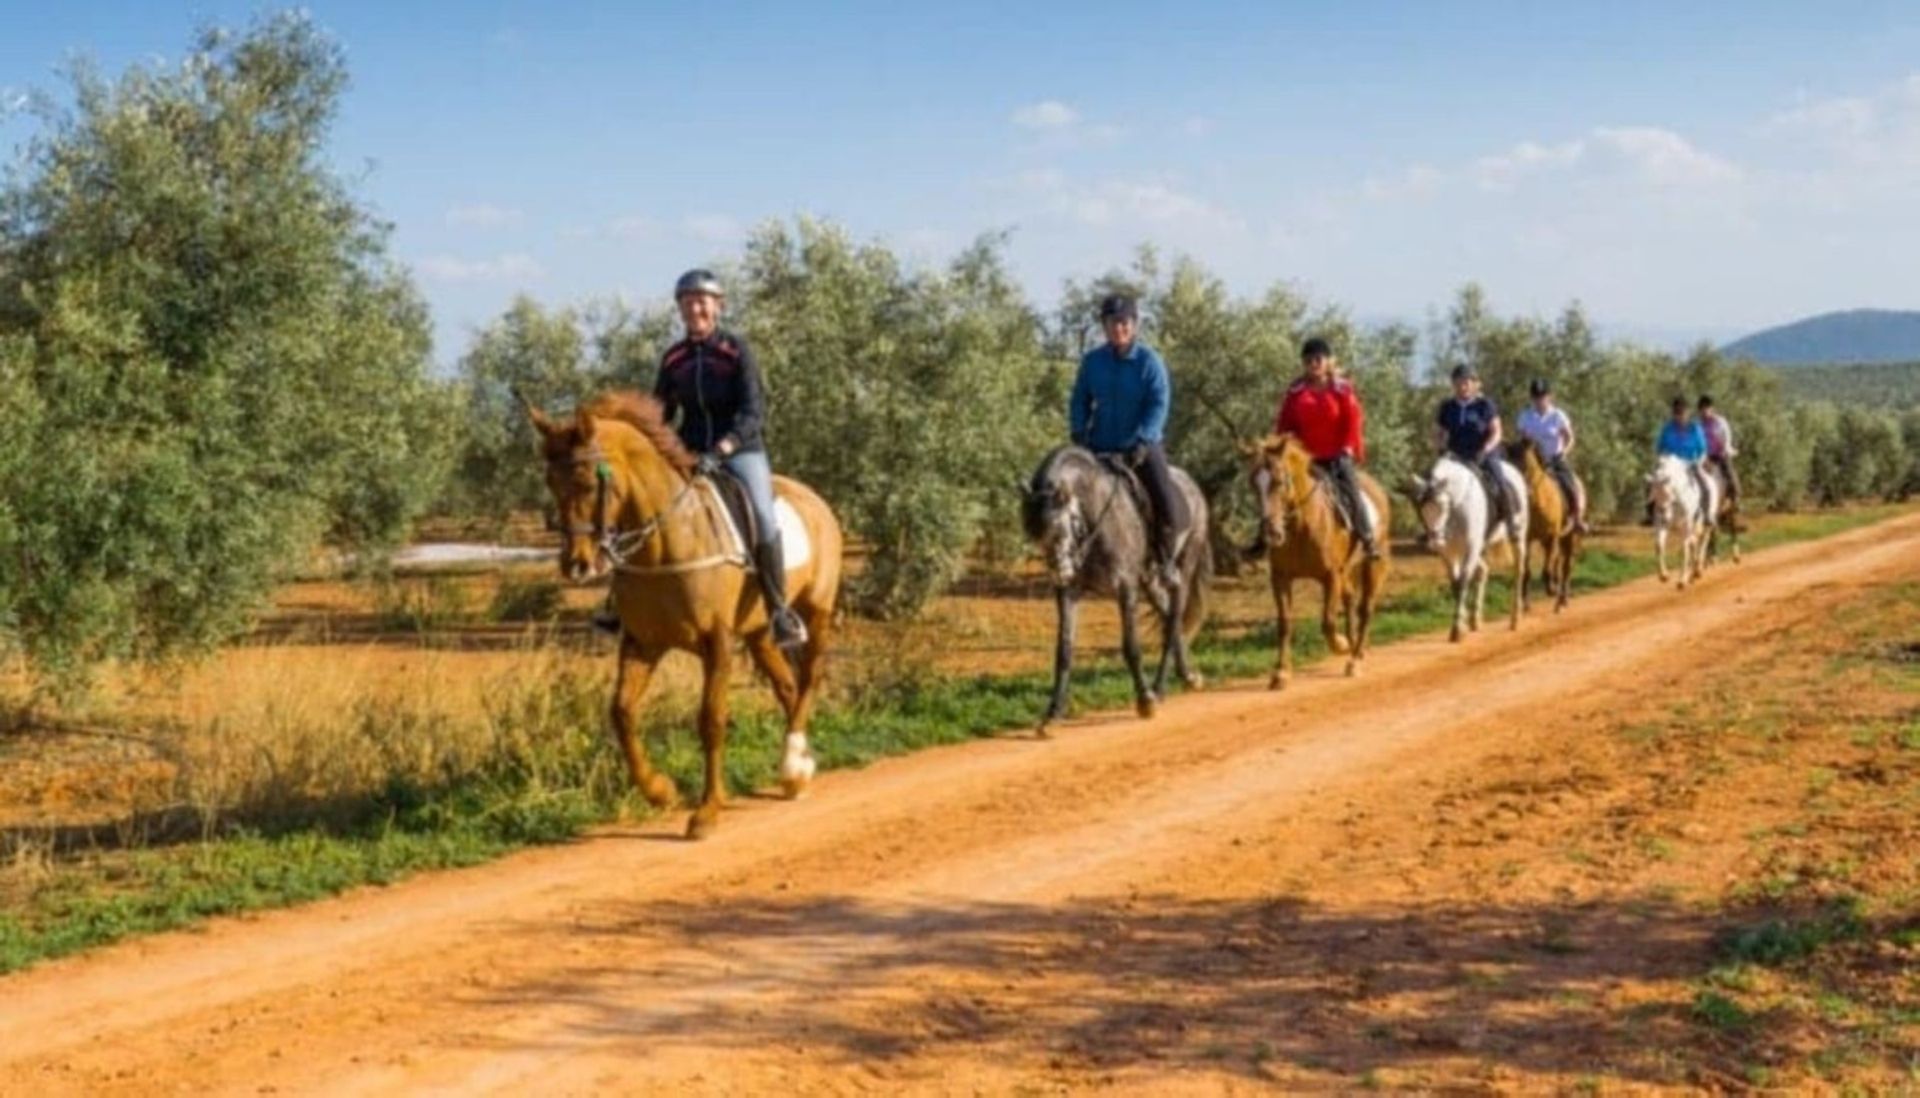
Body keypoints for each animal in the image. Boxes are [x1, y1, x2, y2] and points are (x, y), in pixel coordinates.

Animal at [518, 389, 840, 836]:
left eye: (586, 480)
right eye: (550, 482)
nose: (577, 565)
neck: (667, 543)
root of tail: (815, 499)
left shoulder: (717, 642)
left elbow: (711, 720)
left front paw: (707, 811)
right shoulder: (643, 642)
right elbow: (621, 712)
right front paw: (660, 791)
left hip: (816, 612)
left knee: (809, 678)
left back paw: (792, 764)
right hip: (759, 632)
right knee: (788, 687)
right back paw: (796, 772)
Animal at [1029, 445, 1205, 737]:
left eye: (1062, 527)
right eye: (1036, 536)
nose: (1060, 573)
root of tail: (1192, 484)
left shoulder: (1125, 588)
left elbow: (1131, 646)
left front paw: (1144, 701)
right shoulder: (1069, 593)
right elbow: (1064, 650)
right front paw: (1053, 714)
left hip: (1183, 569)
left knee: (1172, 622)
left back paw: (1158, 689)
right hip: (1150, 581)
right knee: (1171, 618)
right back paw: (1186, 676)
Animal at [1251, 431, 1390, 683]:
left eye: (1279, 481)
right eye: (1253, 485)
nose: (1271, 533)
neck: (1301, 528)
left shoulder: (1330, 576)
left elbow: (1328, 621)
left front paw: (1342, 646)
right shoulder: (1280, 578)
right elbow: (1284, 623)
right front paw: (1281, 671)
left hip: (1373, 565)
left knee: (1365, 608)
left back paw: (1355, 658)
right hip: (1346, 570)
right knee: (1351, 599)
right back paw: (1355, 646)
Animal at [1413, 454, 1528, 644]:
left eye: (1443, 506)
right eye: (1421, 508)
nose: (1435, 541)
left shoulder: (1471, 547)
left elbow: (1463, 582)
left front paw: (1457, 630)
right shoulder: (1449, 553)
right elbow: (1455, 583)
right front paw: (1463, 624)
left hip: (1518, 536)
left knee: (1518, 571)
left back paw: (1515, 619)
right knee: (1483, 570)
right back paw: (1476, 620)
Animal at [1643, 454, 1720, 591]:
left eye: (1667, 493)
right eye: (1653, 495)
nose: (1664, 515)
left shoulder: (1686, 525)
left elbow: (1684, 550)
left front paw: (1682, 581)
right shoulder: (1661, 525)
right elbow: (1659, 545)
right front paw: (1664, 575)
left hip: (1706, 522)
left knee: (1703, 541)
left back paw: (1698, 570)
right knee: (1694, 543)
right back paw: (1693, 574)